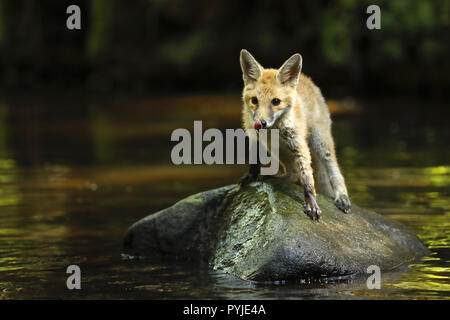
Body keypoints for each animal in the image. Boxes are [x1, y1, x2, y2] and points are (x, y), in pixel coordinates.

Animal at [241, 49, 350, 220]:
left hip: (320, 142)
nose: (261, 123)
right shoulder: (254, 138)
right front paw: (251, 177)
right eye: (254, 100)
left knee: (333, 170)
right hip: (278, 150)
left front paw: (312, 205)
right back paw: (273, 177)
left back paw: (342, 197)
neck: (274, 130)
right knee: (293, 173)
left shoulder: (299, 144)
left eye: (276, 101)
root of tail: (306, 79)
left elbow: (307, 179)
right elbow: (254, 163)